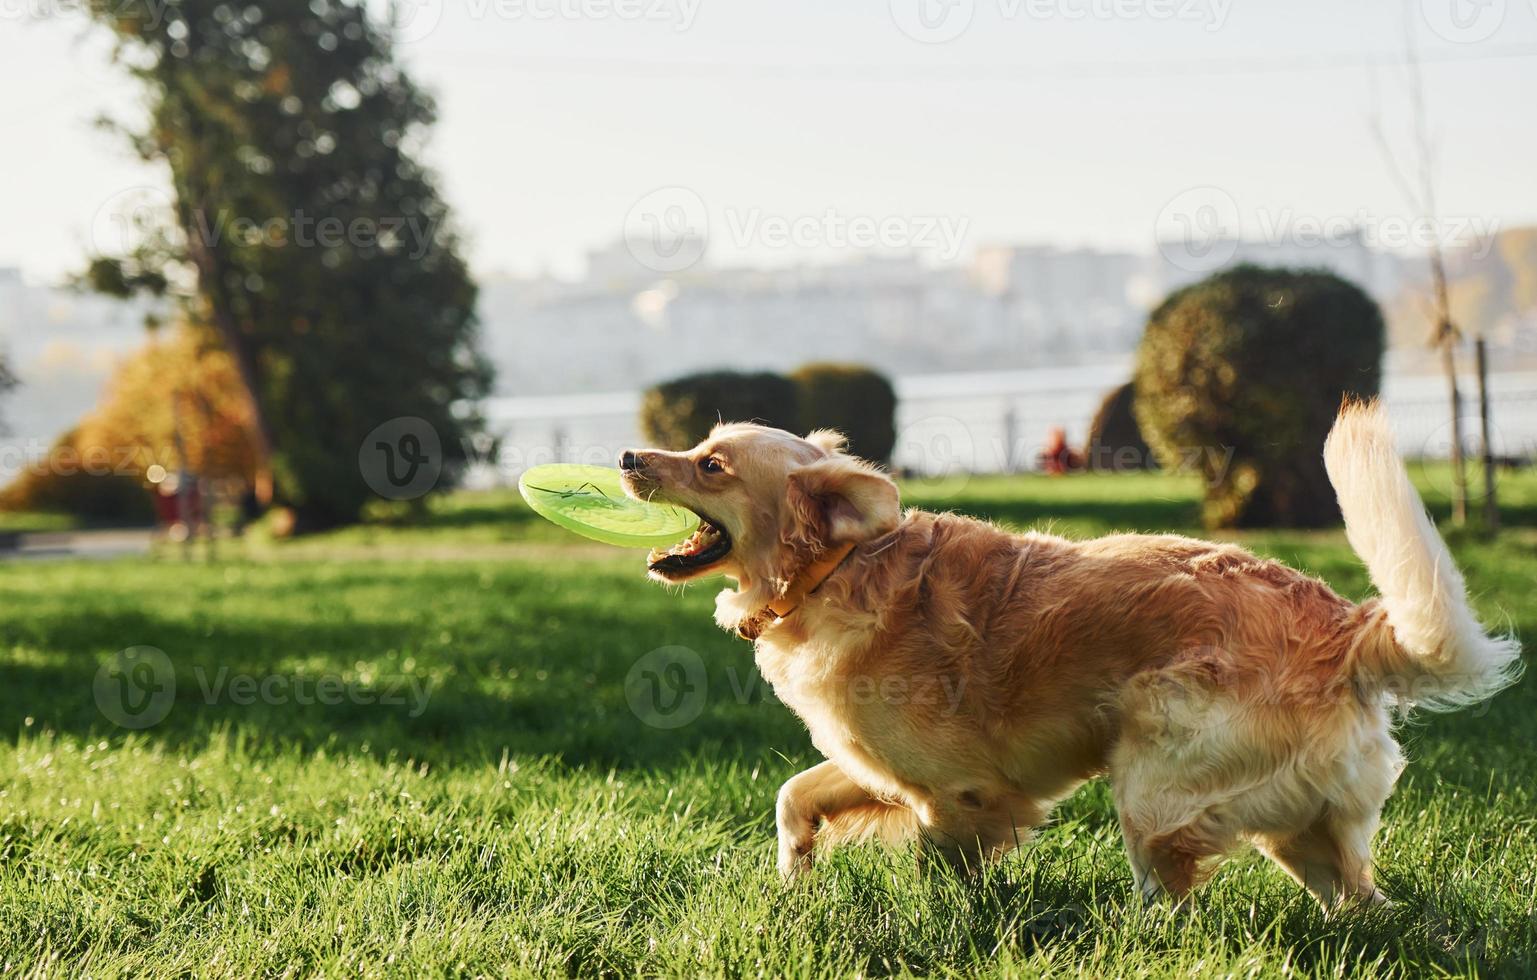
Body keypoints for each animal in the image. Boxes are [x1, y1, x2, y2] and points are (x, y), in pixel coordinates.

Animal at [617, 402, 1518, 909]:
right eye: (700, 443)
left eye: (710, 464)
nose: (626, 456)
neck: (833, 569)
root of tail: (1345, 626)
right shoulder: (883, 769)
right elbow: (793, 795)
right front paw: (794, 878)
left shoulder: (964, 793)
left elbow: (938, 869)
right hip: (1297, 826)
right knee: (1362, 903)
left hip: (1153, 788)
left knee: (1170, 901)